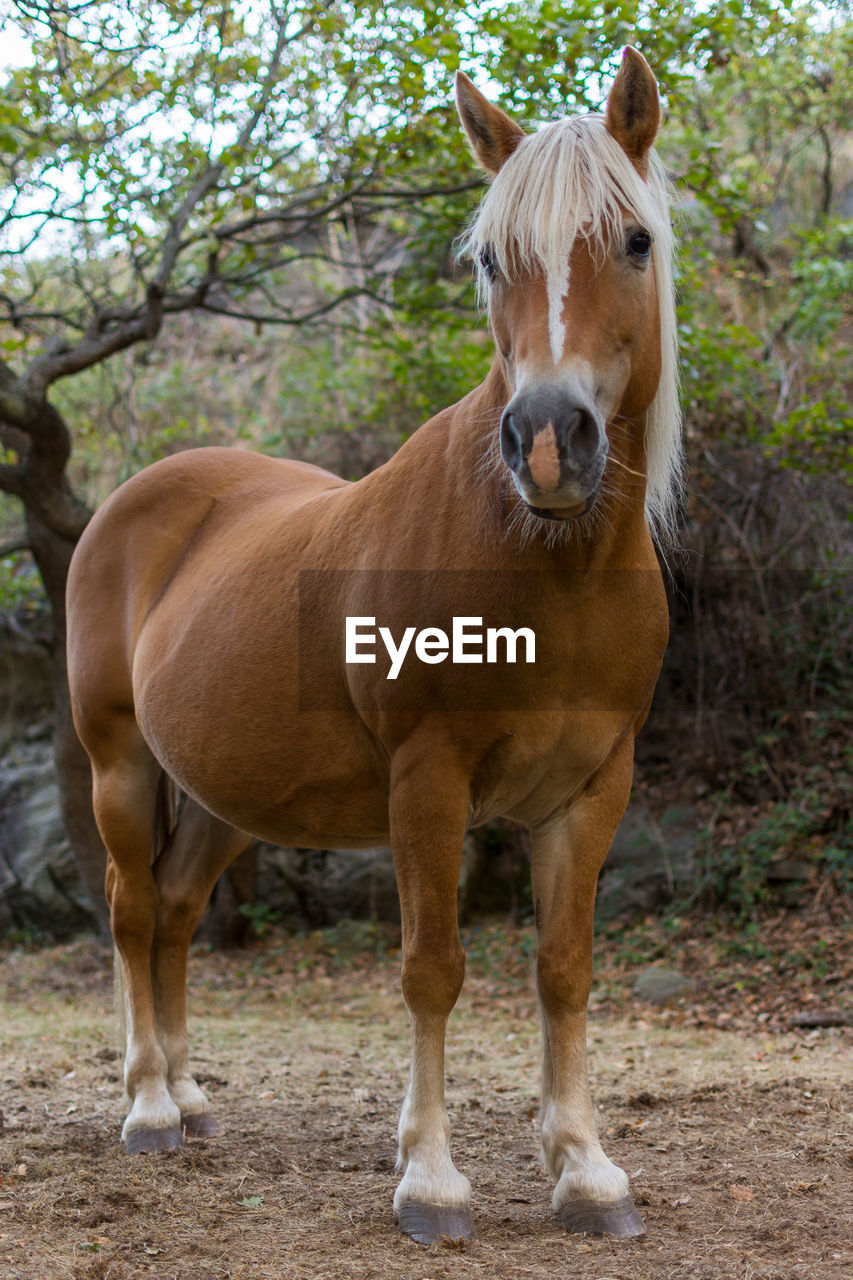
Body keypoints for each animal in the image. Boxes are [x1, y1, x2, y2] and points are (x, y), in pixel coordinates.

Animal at [64, 49, 676, 1249]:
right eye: (490, 258)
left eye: (633, 240)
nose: (548, 441)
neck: (548, 565)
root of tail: (138, 499)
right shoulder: (426, 781)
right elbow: (432, 970)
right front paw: (430, 1182)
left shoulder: (592, 788)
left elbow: (564, 970)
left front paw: (586, 1174)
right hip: (122, 764)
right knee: (128, 908)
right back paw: (150, 1105)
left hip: (224, 795)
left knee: (173, 911)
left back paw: (192, 1097)